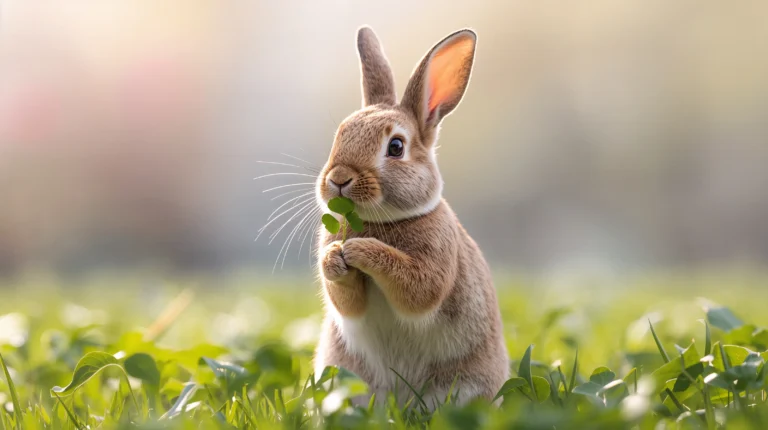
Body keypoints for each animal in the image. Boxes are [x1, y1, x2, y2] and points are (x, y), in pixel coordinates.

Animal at [313, 26, 509, 409]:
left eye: (396, 147)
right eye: (340, 135)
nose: (339, 178)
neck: (379, 221)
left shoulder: (434, 263)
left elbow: (415, 289)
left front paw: (359, 250)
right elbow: (347, 300)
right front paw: (333, 257)